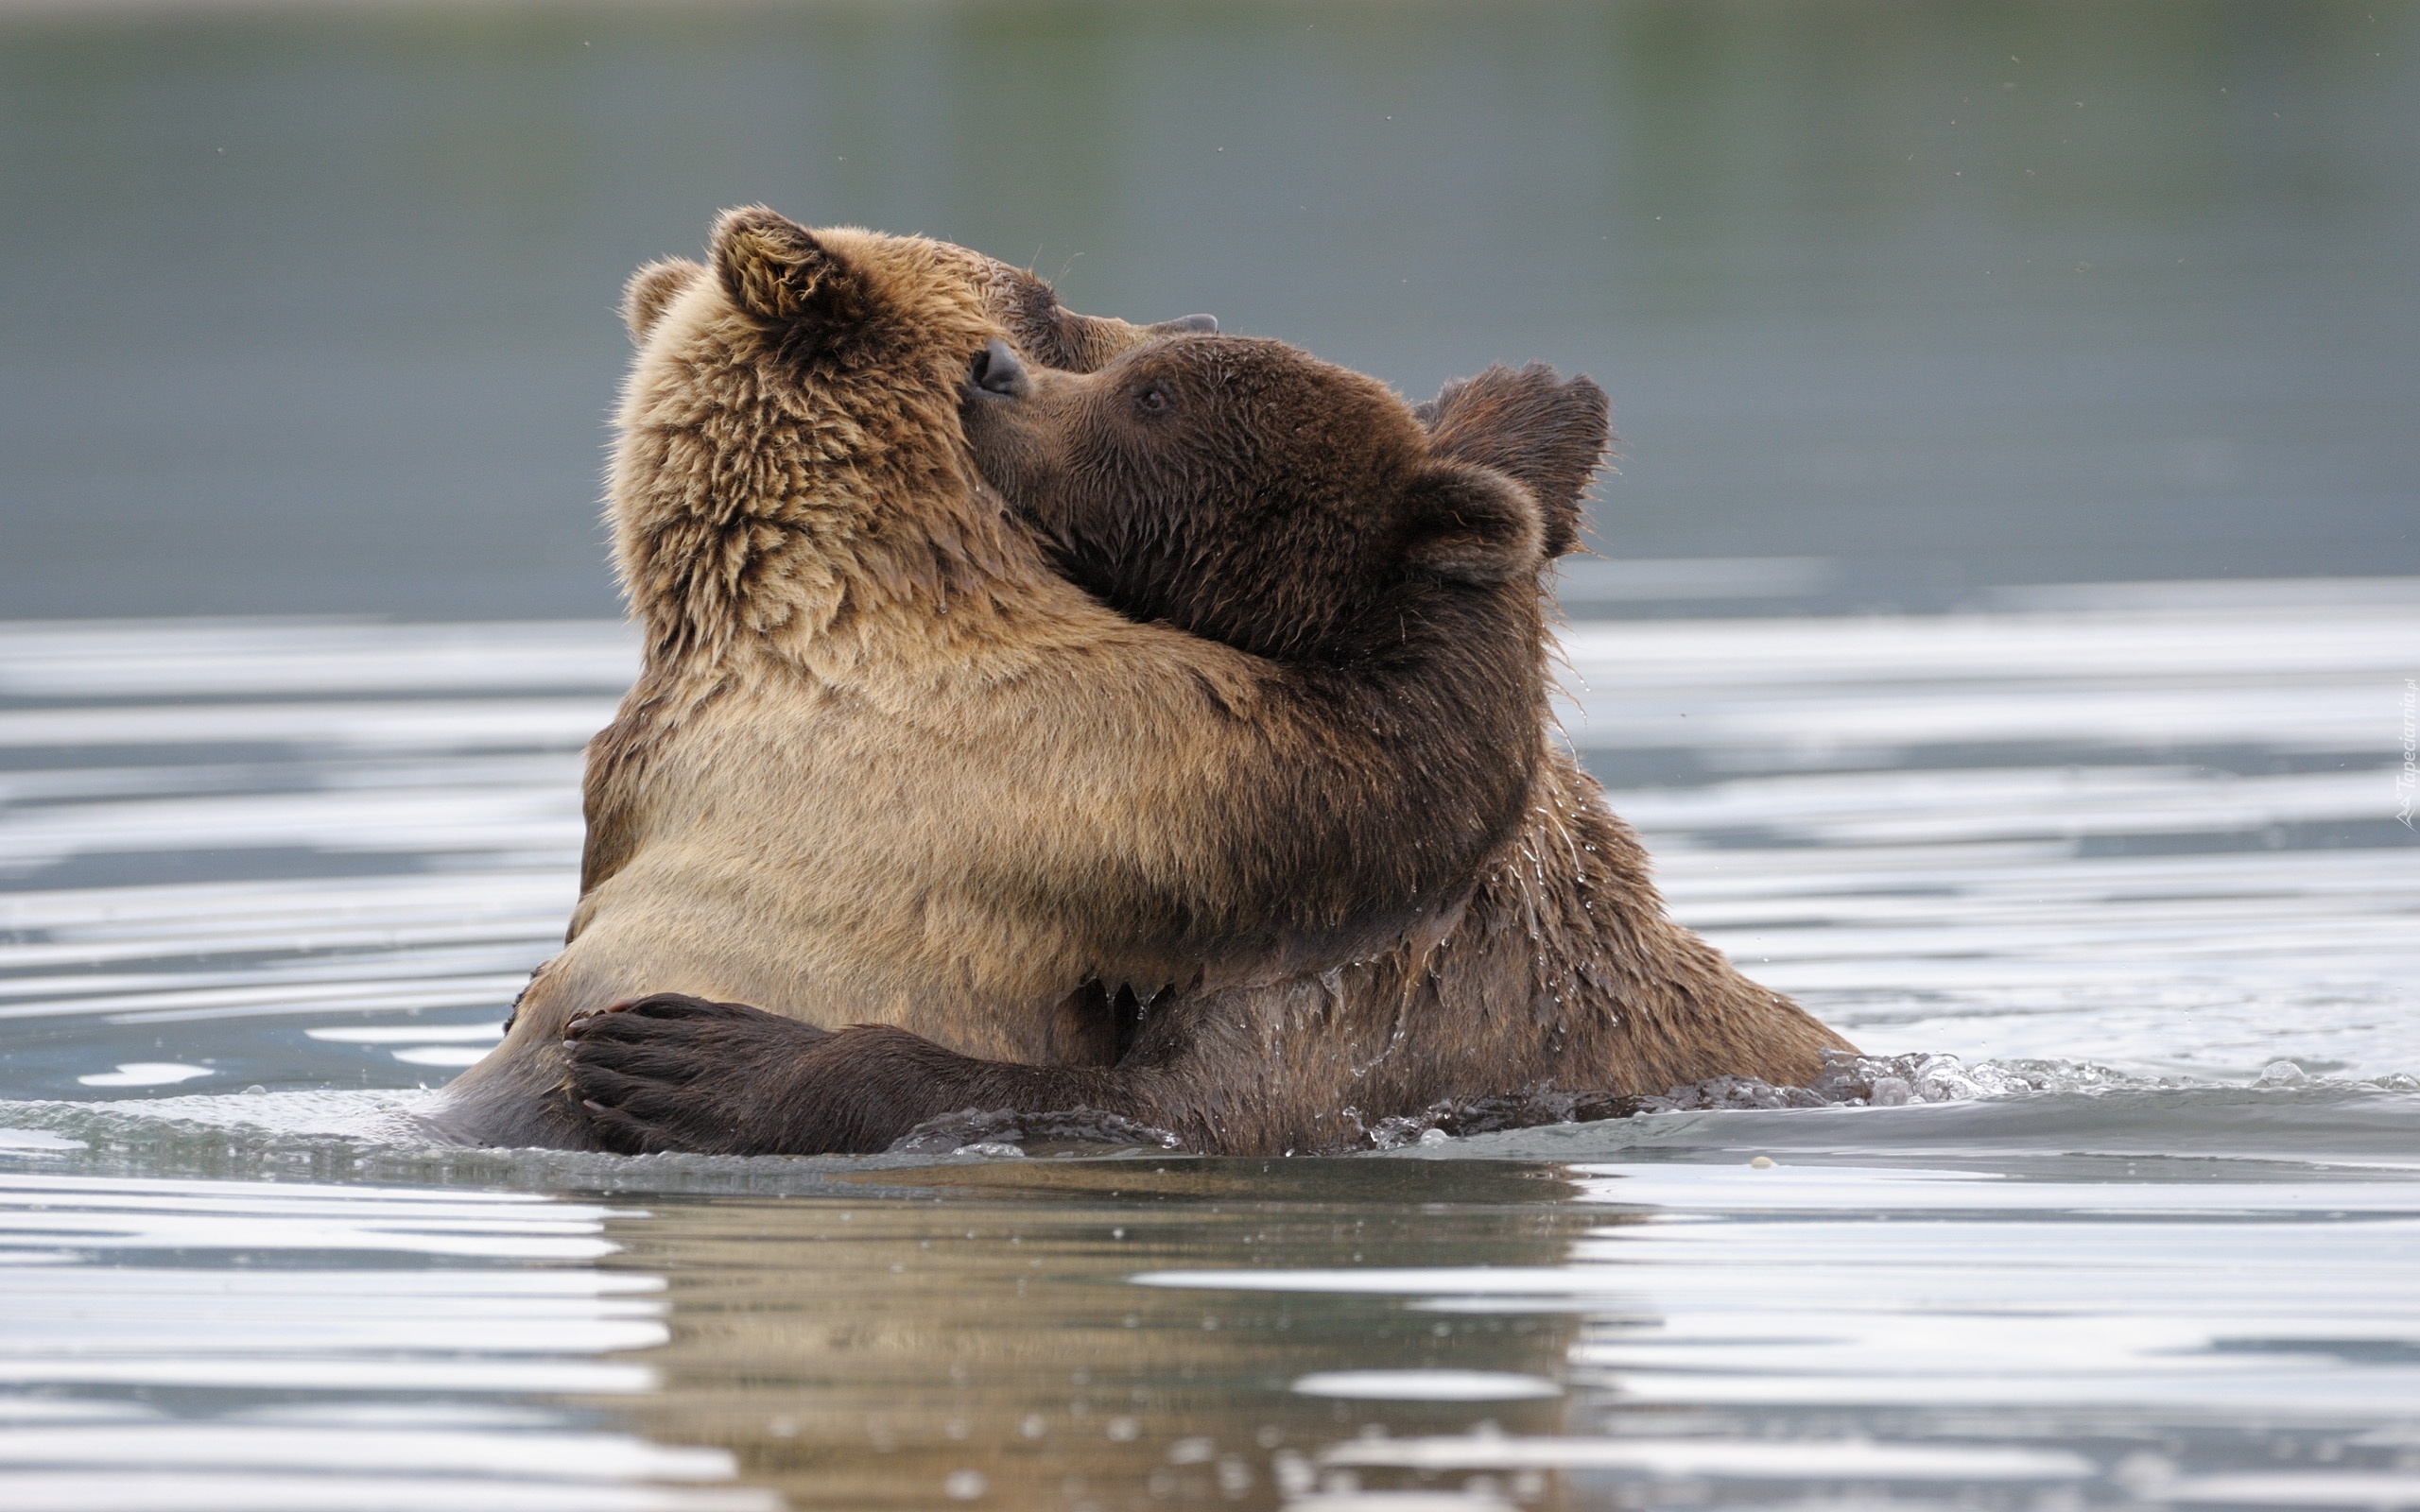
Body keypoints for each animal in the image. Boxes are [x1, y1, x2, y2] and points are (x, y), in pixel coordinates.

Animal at [549, 268, 1848, 1156]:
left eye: (1151, 395)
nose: (991, 370)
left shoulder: (1349, 1000)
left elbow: (1156, 1107)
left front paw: (690, 1058)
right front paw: (1533, 405)